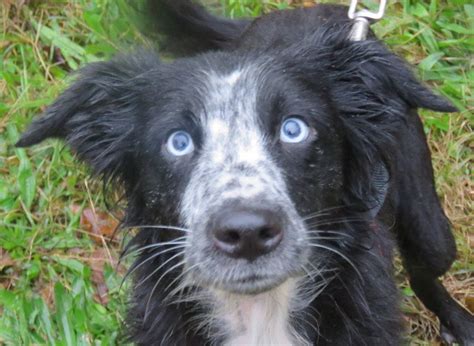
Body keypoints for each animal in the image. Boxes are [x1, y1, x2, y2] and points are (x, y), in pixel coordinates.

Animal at [15, 1, 474, 344]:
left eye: (294, 128)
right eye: (178, 141)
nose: (247, 232)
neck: (258, 314)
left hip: (430, 226)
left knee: (423, 270)